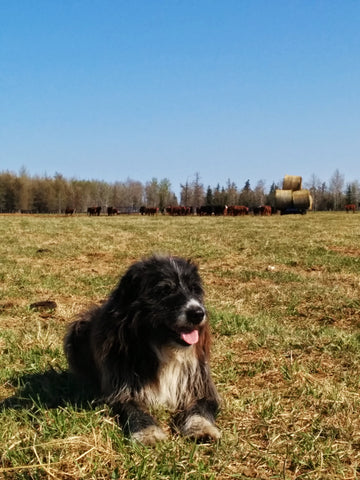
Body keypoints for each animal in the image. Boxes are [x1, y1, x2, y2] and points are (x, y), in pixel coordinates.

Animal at [64, 253, 221, 444]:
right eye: (164, 291)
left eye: (194, 289)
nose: (198, 313)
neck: (165, 347)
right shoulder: (122, 391)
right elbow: (136, 411)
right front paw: (149, 433)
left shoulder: (201, 386)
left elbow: (201, 409)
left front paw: (202, 429)